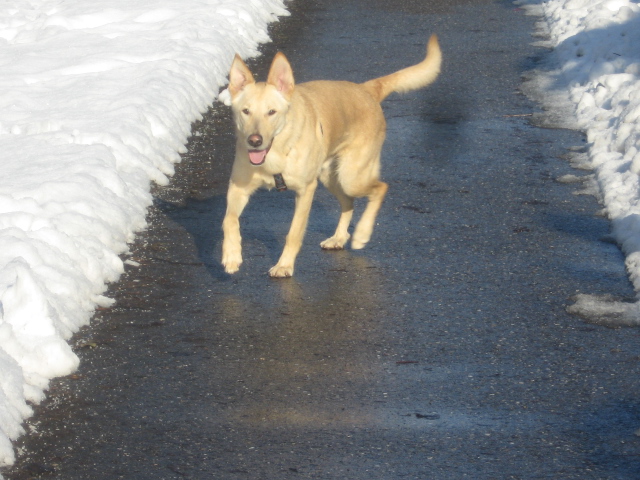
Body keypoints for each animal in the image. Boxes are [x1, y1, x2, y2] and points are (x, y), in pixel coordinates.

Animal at [221, 34, 440, 278]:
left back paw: (362, 234)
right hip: (331, 177)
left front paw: (284, 265)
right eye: (246, 111)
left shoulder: (306, 190)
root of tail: (366, 89)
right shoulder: (238, 187)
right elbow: (228, 220)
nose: (254, 141)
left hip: (352, 177)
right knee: (349, 202)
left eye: (271, 112)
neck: (278, 153)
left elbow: (293, 233)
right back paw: (339, 237)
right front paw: (231, 255)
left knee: (380, 188)